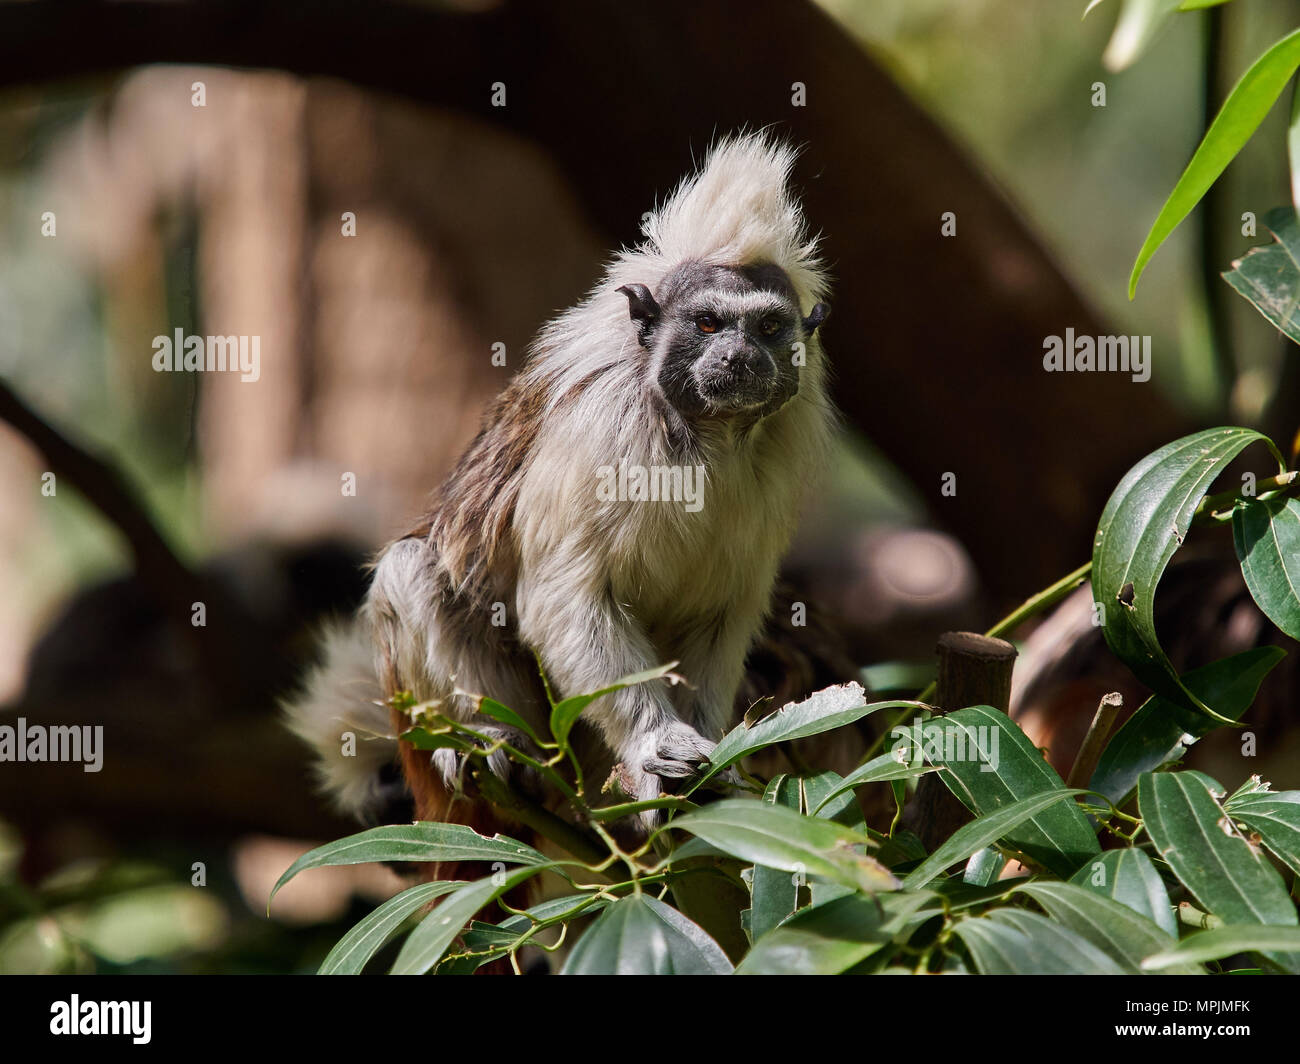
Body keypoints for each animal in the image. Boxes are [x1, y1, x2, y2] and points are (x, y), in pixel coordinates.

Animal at [286, 132, 836, 855]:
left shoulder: (774, 465)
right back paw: (501, 752)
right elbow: (564, 599)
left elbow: (724, 612)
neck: (705, 439)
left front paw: (711, 764)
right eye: (709, 325)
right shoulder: (599, 429)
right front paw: (655, 743)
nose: (740, 358)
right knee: (414, 570)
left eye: (769, 328)